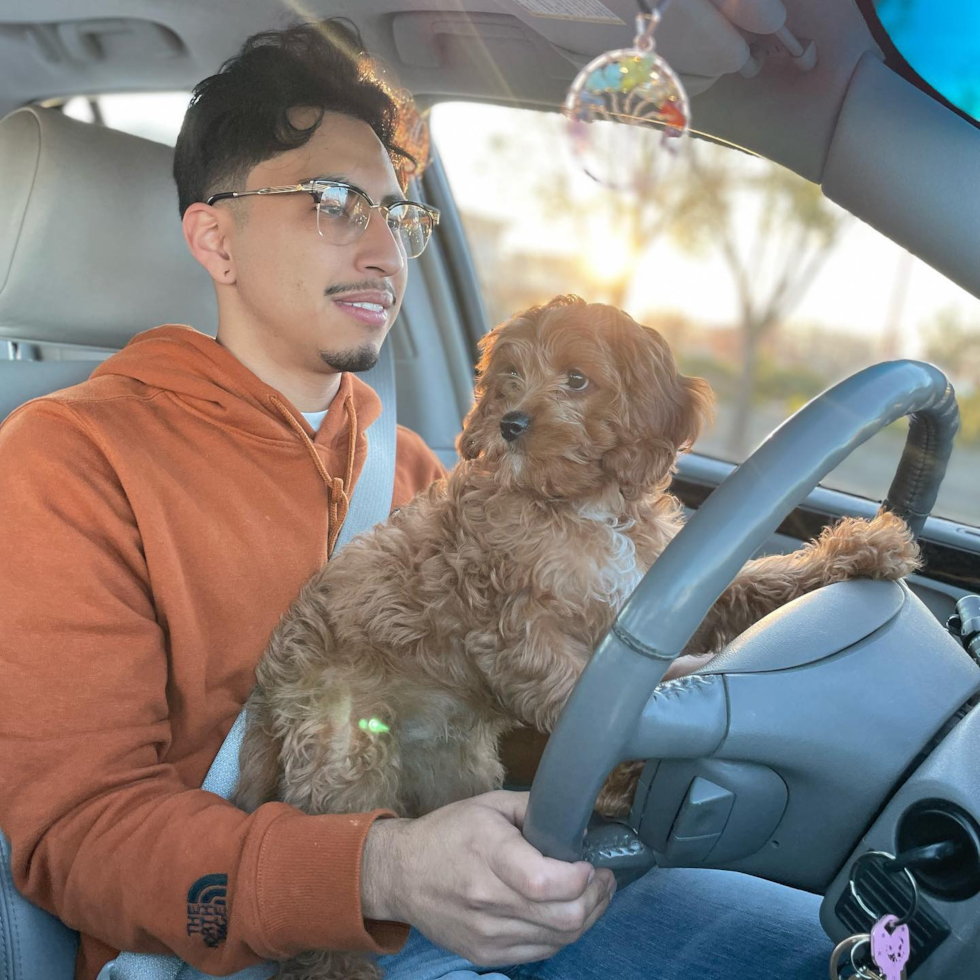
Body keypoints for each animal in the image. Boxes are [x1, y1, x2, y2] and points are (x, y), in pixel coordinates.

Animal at [234, 292, 924, 980]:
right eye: (510, 377)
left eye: (577, 379)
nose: (510, 424)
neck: (581, 505)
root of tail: (270, 691)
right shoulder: (516, 631)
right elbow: (583, 697)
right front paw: (651, 750)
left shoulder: (664, 588)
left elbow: (755, 582)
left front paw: (863, 550)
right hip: (346, 760)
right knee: (327, 890)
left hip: (453, 763)